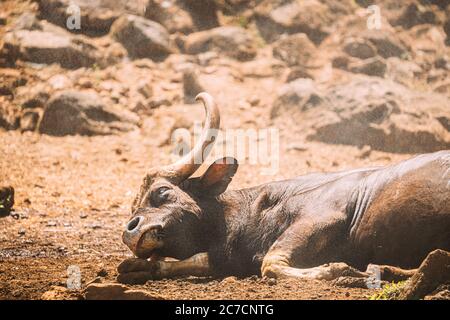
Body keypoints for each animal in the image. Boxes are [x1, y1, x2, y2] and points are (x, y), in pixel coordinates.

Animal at [118, 93, 450, 284]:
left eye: (162, 192)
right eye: (134, 208)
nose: (130, 230)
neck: (259, 209)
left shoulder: (320, 219)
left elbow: (271, 263)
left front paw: (341, 271)